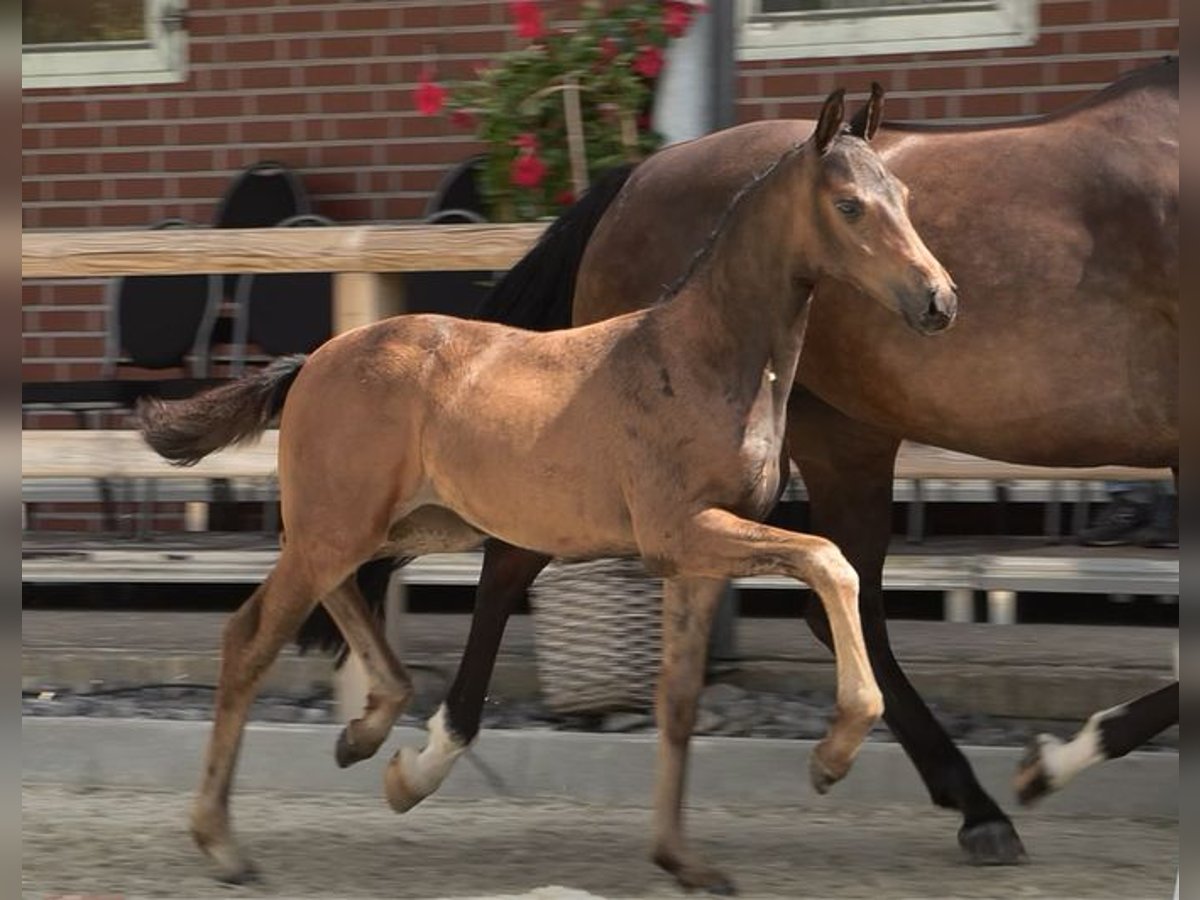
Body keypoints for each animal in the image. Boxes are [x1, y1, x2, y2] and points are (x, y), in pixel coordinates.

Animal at [136, 86, 950, 897]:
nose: (938, 300)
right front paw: (833, 755)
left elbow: (677, 698)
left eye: (906, 196)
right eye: (849, 205)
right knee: (251, 636)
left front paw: (681, 860)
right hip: (344, 523)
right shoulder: (679, 531)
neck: (704, 356)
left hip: (403, 523)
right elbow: (830, 562)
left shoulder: (698, 555)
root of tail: (311, 362)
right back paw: (222, 841)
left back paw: (372, 739)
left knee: (339, 595)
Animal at [360, 56, 1176, 873]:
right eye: (849, 206)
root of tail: (632, 177)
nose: (940, 300)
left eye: (907, 199)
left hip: (842, 441)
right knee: (511, 565)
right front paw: (1053, 760)